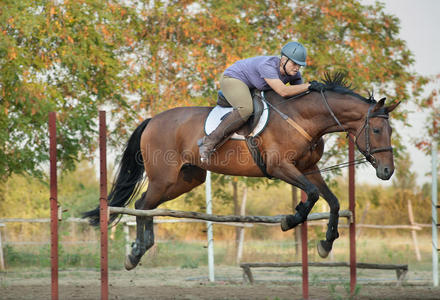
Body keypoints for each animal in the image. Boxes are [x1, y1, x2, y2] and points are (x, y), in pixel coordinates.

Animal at [81, 72, 398, 270]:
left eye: (390, 131)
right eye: (377, 130)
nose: (387, 171)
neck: (303, 117)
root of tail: (152, 120)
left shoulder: (308, 169)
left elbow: (331, 201)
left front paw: (326, 243)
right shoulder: (280, 166)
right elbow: (311, 196)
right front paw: (290, 219)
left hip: (185, 179)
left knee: (146, 205)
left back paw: (140, 249)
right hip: (164, 177)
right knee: (142, 204)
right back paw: (136, 252)